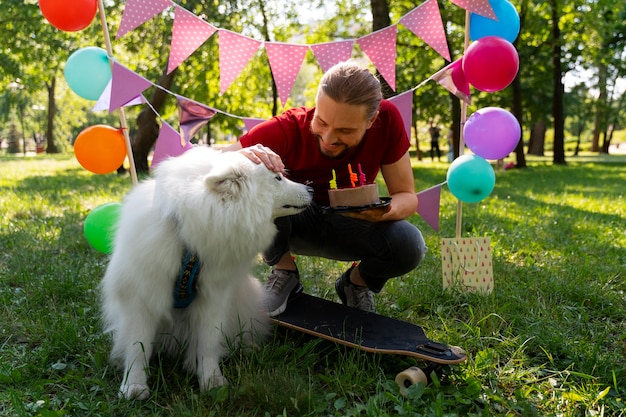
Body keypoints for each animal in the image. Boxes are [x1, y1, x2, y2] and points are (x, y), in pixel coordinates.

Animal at [98, 145, 310, 398]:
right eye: (277, 178)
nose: (310, 188)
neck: (189, 242)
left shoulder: (214, 297)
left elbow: (208, 343)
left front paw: (211, 381)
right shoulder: (142, 299)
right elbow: (137, 346)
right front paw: (134, 386)